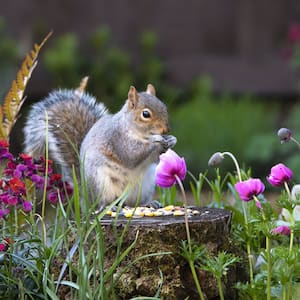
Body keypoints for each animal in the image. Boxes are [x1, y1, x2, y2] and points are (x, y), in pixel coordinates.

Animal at [25, 78, 178, 207]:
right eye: (145, 114)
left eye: (164, 107)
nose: (166, 130)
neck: (136, 131)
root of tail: (87, 196)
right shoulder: (117, 138)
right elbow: (131, 154)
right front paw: (156, 140)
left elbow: (155, 158)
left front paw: (171, 139)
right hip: (101, 183)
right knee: (102, 204)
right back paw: (110, 207)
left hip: (145, 186)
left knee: (134, 204)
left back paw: (148, 204)